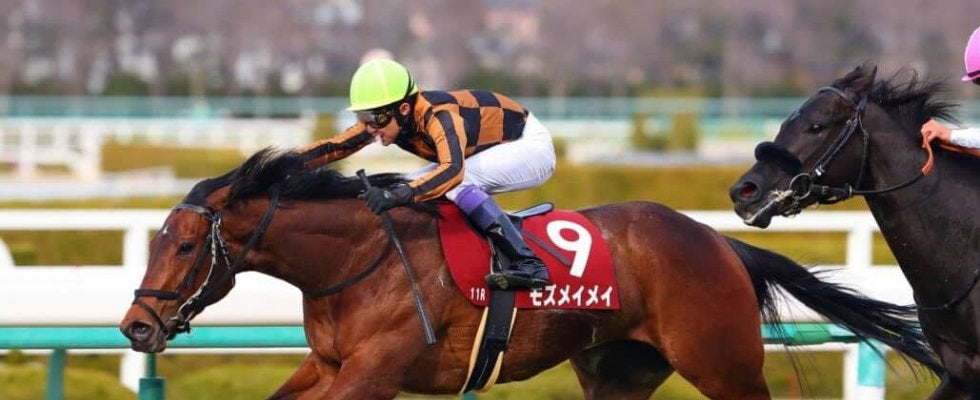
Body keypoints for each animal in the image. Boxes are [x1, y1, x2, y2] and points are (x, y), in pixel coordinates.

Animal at [120, 148, 941, 400]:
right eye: (155, 242)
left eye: (186, 248)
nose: (135, 326)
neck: (356, 262)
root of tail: (716, 240)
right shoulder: (325, 365)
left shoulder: (375, 371)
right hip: (619, 371)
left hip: (723, 361)